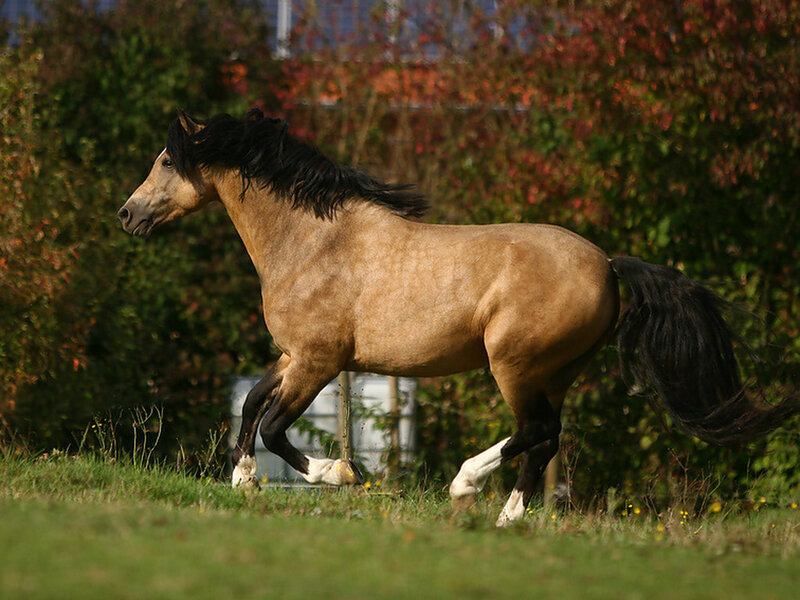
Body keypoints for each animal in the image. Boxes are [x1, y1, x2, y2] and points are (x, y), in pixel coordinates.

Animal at [118, 109, 798, 526]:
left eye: (168, 161)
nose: (127, 215)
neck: (314, 241)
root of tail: (608, 263)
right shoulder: (295, 356)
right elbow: (253, 402)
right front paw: (243, 482)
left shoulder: (319, 360)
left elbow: (275, 426)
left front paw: (340, 473)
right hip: (557, 370)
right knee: (547, 437)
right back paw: (506, 518)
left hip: (515, 364)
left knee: (536, 431)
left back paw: (466, 486)